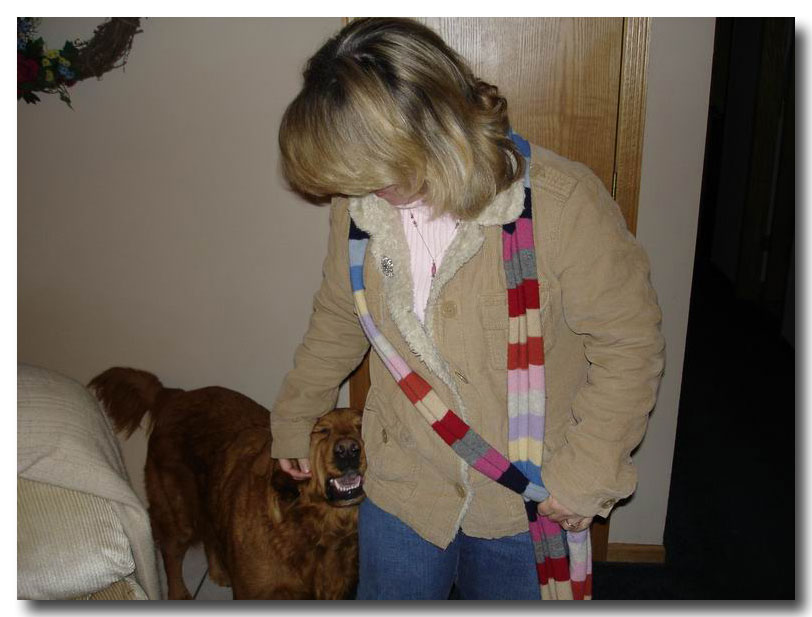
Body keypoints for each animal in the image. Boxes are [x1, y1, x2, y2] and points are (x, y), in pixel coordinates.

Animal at [89, 367, 366, 600]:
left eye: (361, 427)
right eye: (321, 432)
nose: (348, 450)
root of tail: (176, 395)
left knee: (210, 534)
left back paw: (219, 572)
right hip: (179, 515)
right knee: (171, 552)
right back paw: (179, 593)